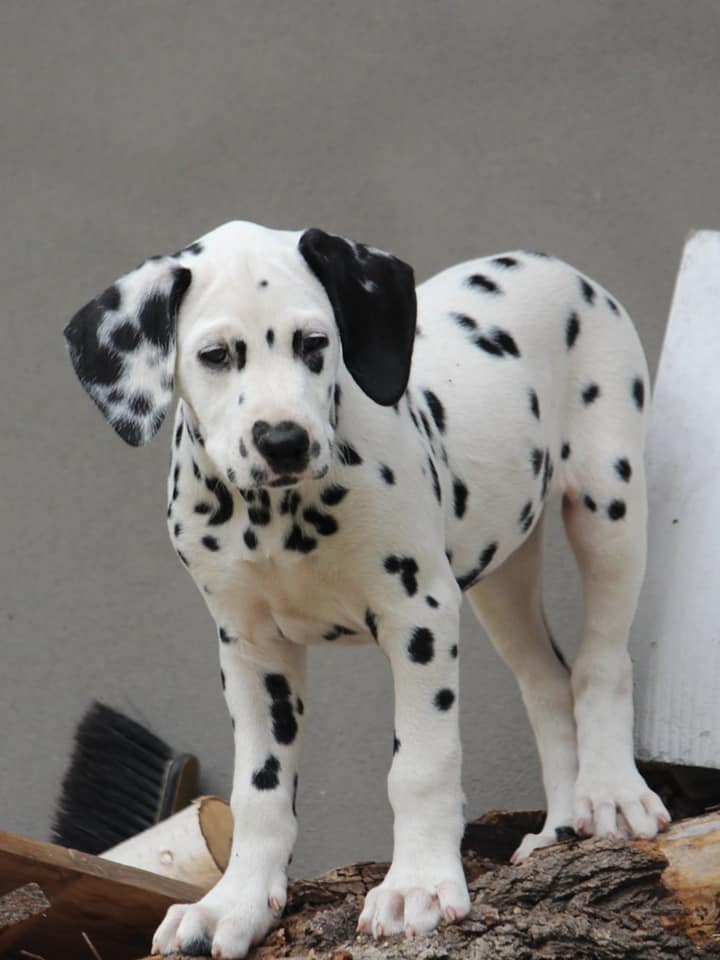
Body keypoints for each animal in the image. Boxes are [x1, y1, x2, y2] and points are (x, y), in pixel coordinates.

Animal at [64, 221, 668, 960]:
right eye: (215, 355)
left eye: (314, 343)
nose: (284, 440)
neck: (278, 514)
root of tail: (547, 262)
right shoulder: (249, 648)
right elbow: (259, 792)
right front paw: (232, 905)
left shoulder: (419, 616)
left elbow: (421, 765)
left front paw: (417, 887)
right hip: (502, 575)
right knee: (547, 684)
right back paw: (558, 831)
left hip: (609, 503)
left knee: (600, 663)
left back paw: (610, 796)